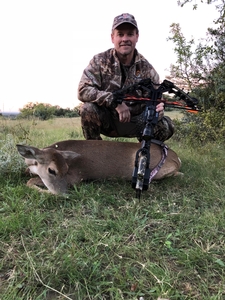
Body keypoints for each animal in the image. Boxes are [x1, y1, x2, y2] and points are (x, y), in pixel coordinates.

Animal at [16, 140, 181, 196]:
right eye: (51, 170)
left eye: (67, 169)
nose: (63, 194)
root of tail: (176, 157)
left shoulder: (76, 178)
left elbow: (30, 182)